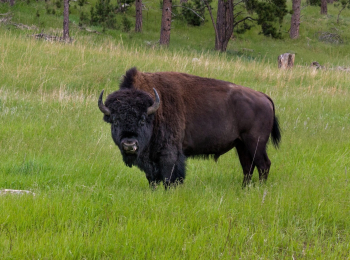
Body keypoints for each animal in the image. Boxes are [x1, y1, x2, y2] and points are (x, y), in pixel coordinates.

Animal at [98, 67, 282, 188]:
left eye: (142, 119)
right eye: (115, 120)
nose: (129, 144)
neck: (154, 110)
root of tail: (264, 97)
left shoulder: (170, 154)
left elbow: (169, 176)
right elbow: (152, 178)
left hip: (255, 143)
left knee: (263, 165)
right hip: (241, 144)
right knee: (247, 167)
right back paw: (245, 189)